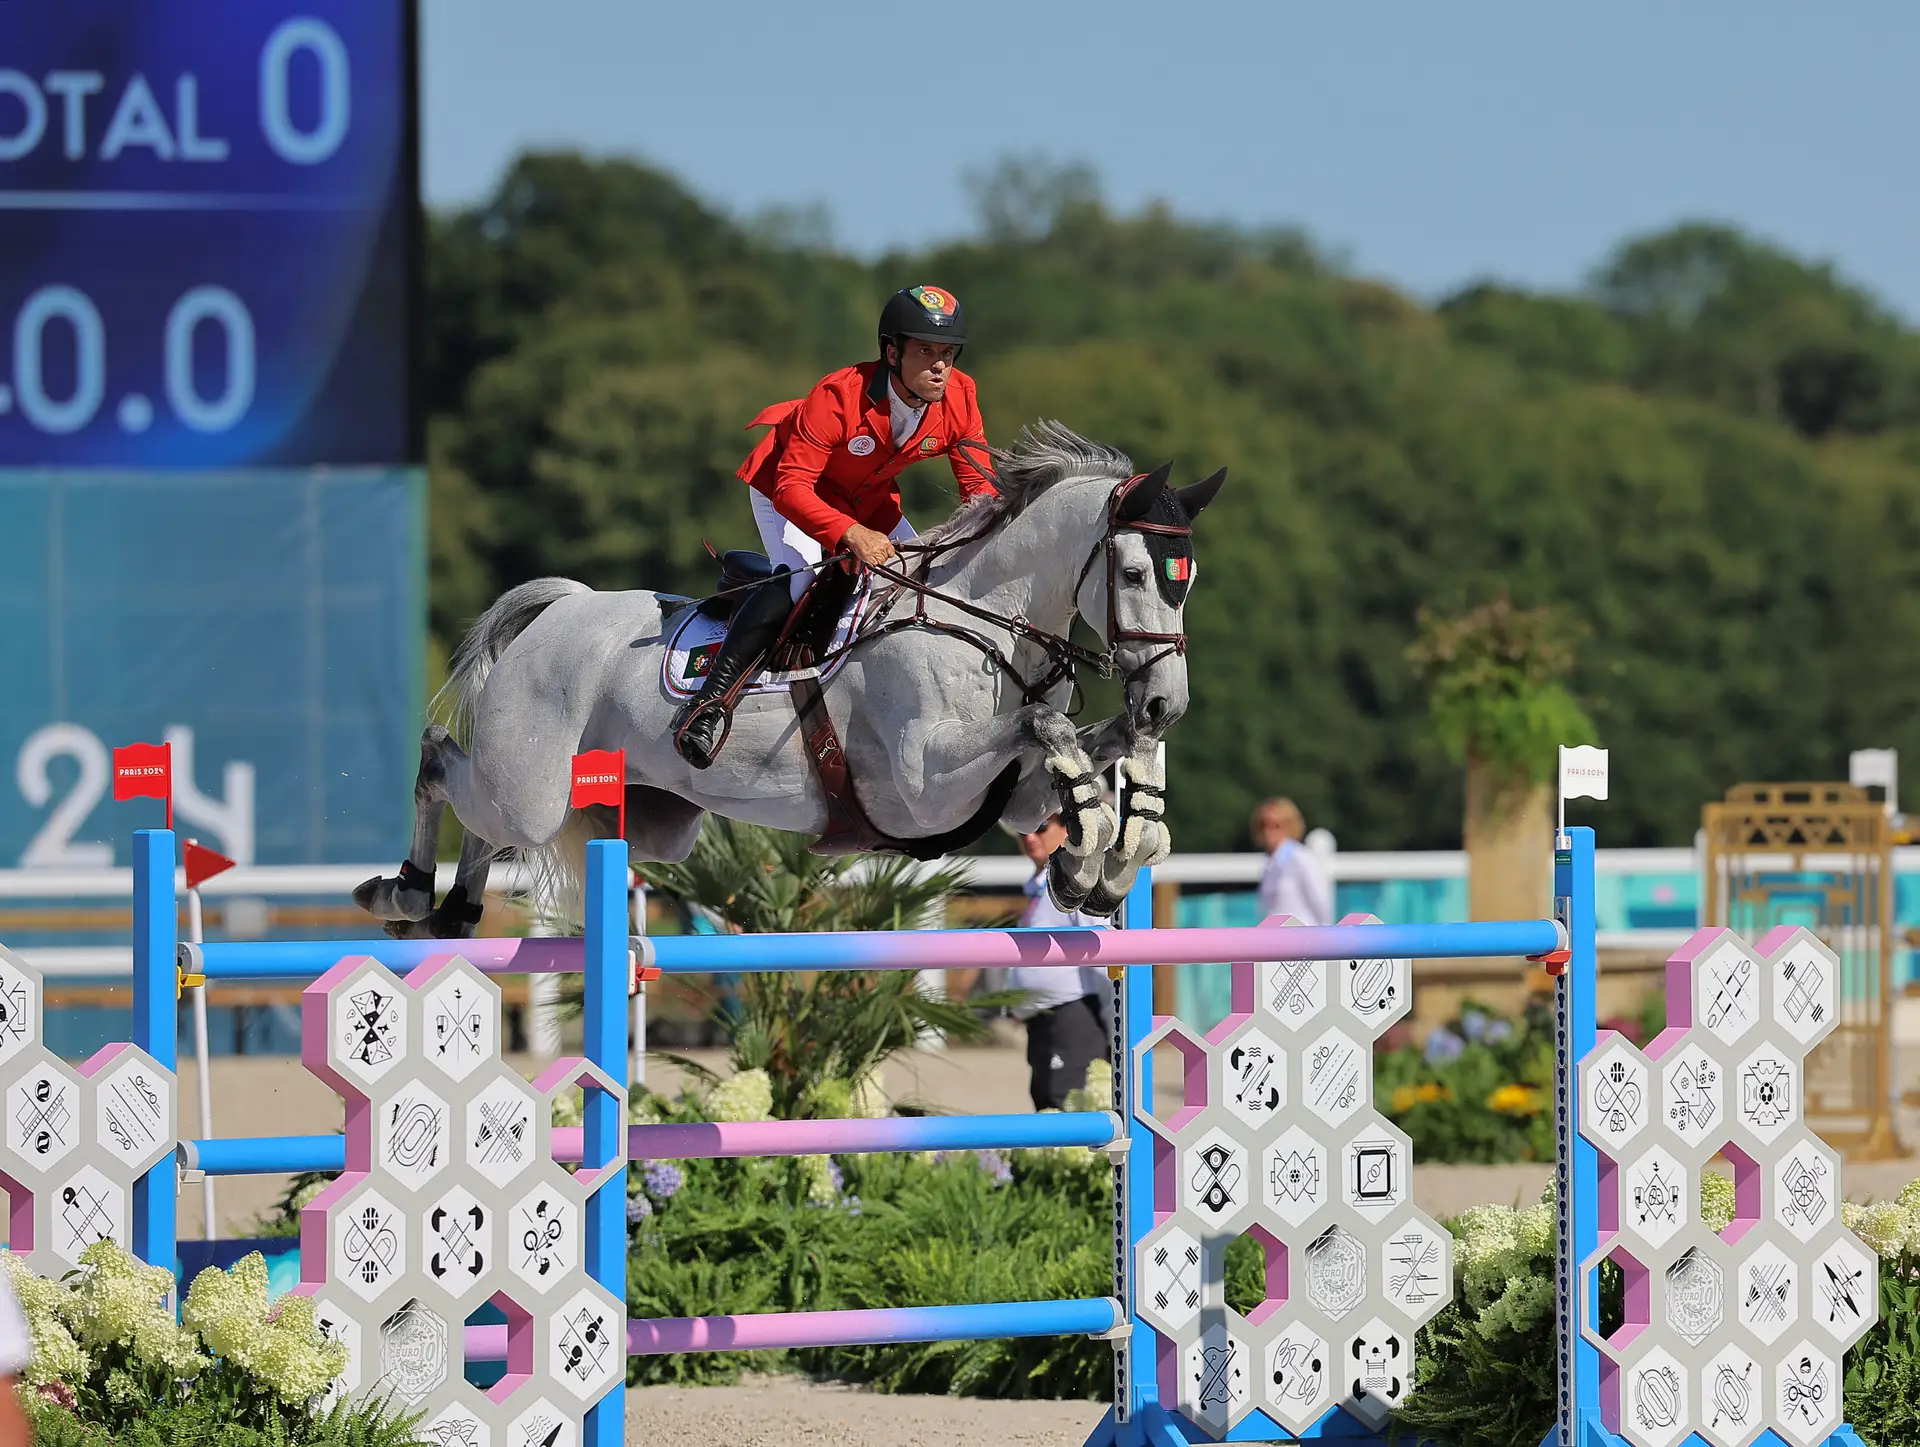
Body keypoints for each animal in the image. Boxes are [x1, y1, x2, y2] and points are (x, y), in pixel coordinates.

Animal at [353, 420, 1221, 936]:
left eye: (1188, 577)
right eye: (1136, 571)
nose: (1165, 702)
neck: (980, 620)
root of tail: (562, 611)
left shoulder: (1011, 797)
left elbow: (1086, 758)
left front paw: (1106, 856)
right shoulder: (923, 787)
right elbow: (1050, 728)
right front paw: (1092, 854)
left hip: (639, 817)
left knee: (487, 826)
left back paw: (451, 911)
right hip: (531, 787)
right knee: (440, 762)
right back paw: (403, 891)